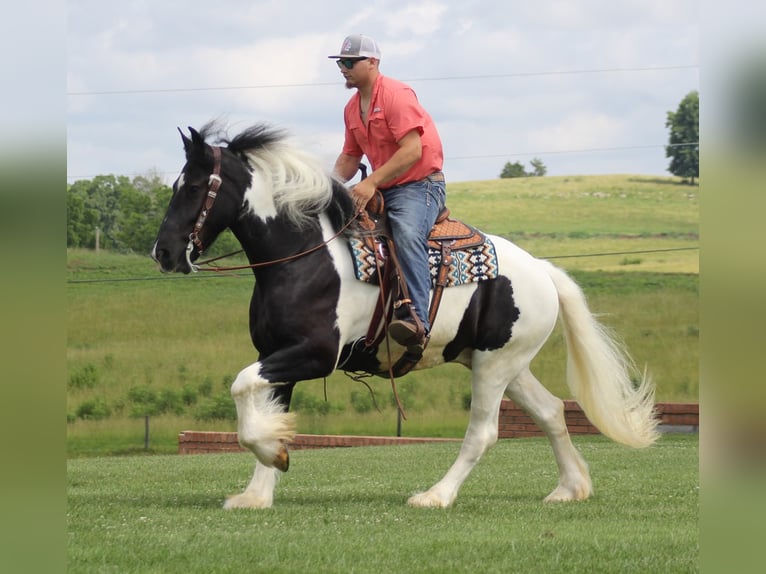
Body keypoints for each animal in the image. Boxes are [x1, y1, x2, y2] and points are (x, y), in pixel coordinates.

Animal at [152, 124, 660, 510]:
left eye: (194, 187)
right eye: (176, 186)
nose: (164, 252)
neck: (301, 257)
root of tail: (542, 270)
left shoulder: (312, 355)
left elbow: (241, 387)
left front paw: (271, 455)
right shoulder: (277, 355)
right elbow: (265, 408)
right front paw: (258, 489)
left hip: (494, 366)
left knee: (484, 433)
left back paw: (436, 496)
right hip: (505, 363)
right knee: (552, 411)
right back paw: (570, 488)